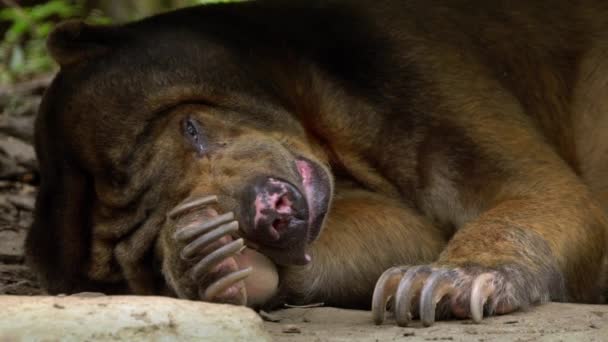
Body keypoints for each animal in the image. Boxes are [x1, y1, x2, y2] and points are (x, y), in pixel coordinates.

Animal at [25, 0, 608, 326]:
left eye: (193, 128)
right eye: (147, 259)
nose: (270, 210)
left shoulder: (408, 68)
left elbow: (540, 189)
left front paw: (440, 285)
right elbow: (394, 227)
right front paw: (215, 259)